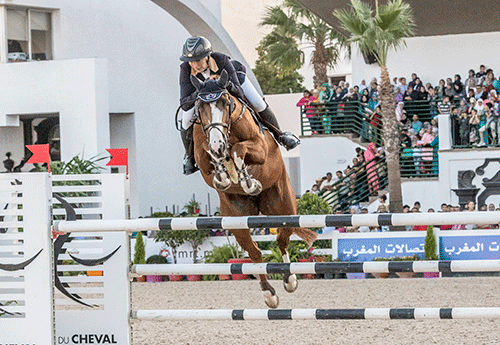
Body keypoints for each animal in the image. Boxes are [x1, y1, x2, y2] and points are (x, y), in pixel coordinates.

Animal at [189, 71, 318, 308]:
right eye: (199, 107)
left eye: (226, 102)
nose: (218, 144)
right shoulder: (202, 159)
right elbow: (208, 156)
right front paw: (224, 172)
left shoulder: (259, 147)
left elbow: (239, 149)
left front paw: (248, 181)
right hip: (237, 220)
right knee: (255, 252)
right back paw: (269, 294)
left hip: (283, 207)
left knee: (282, 240)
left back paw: (290, 280)